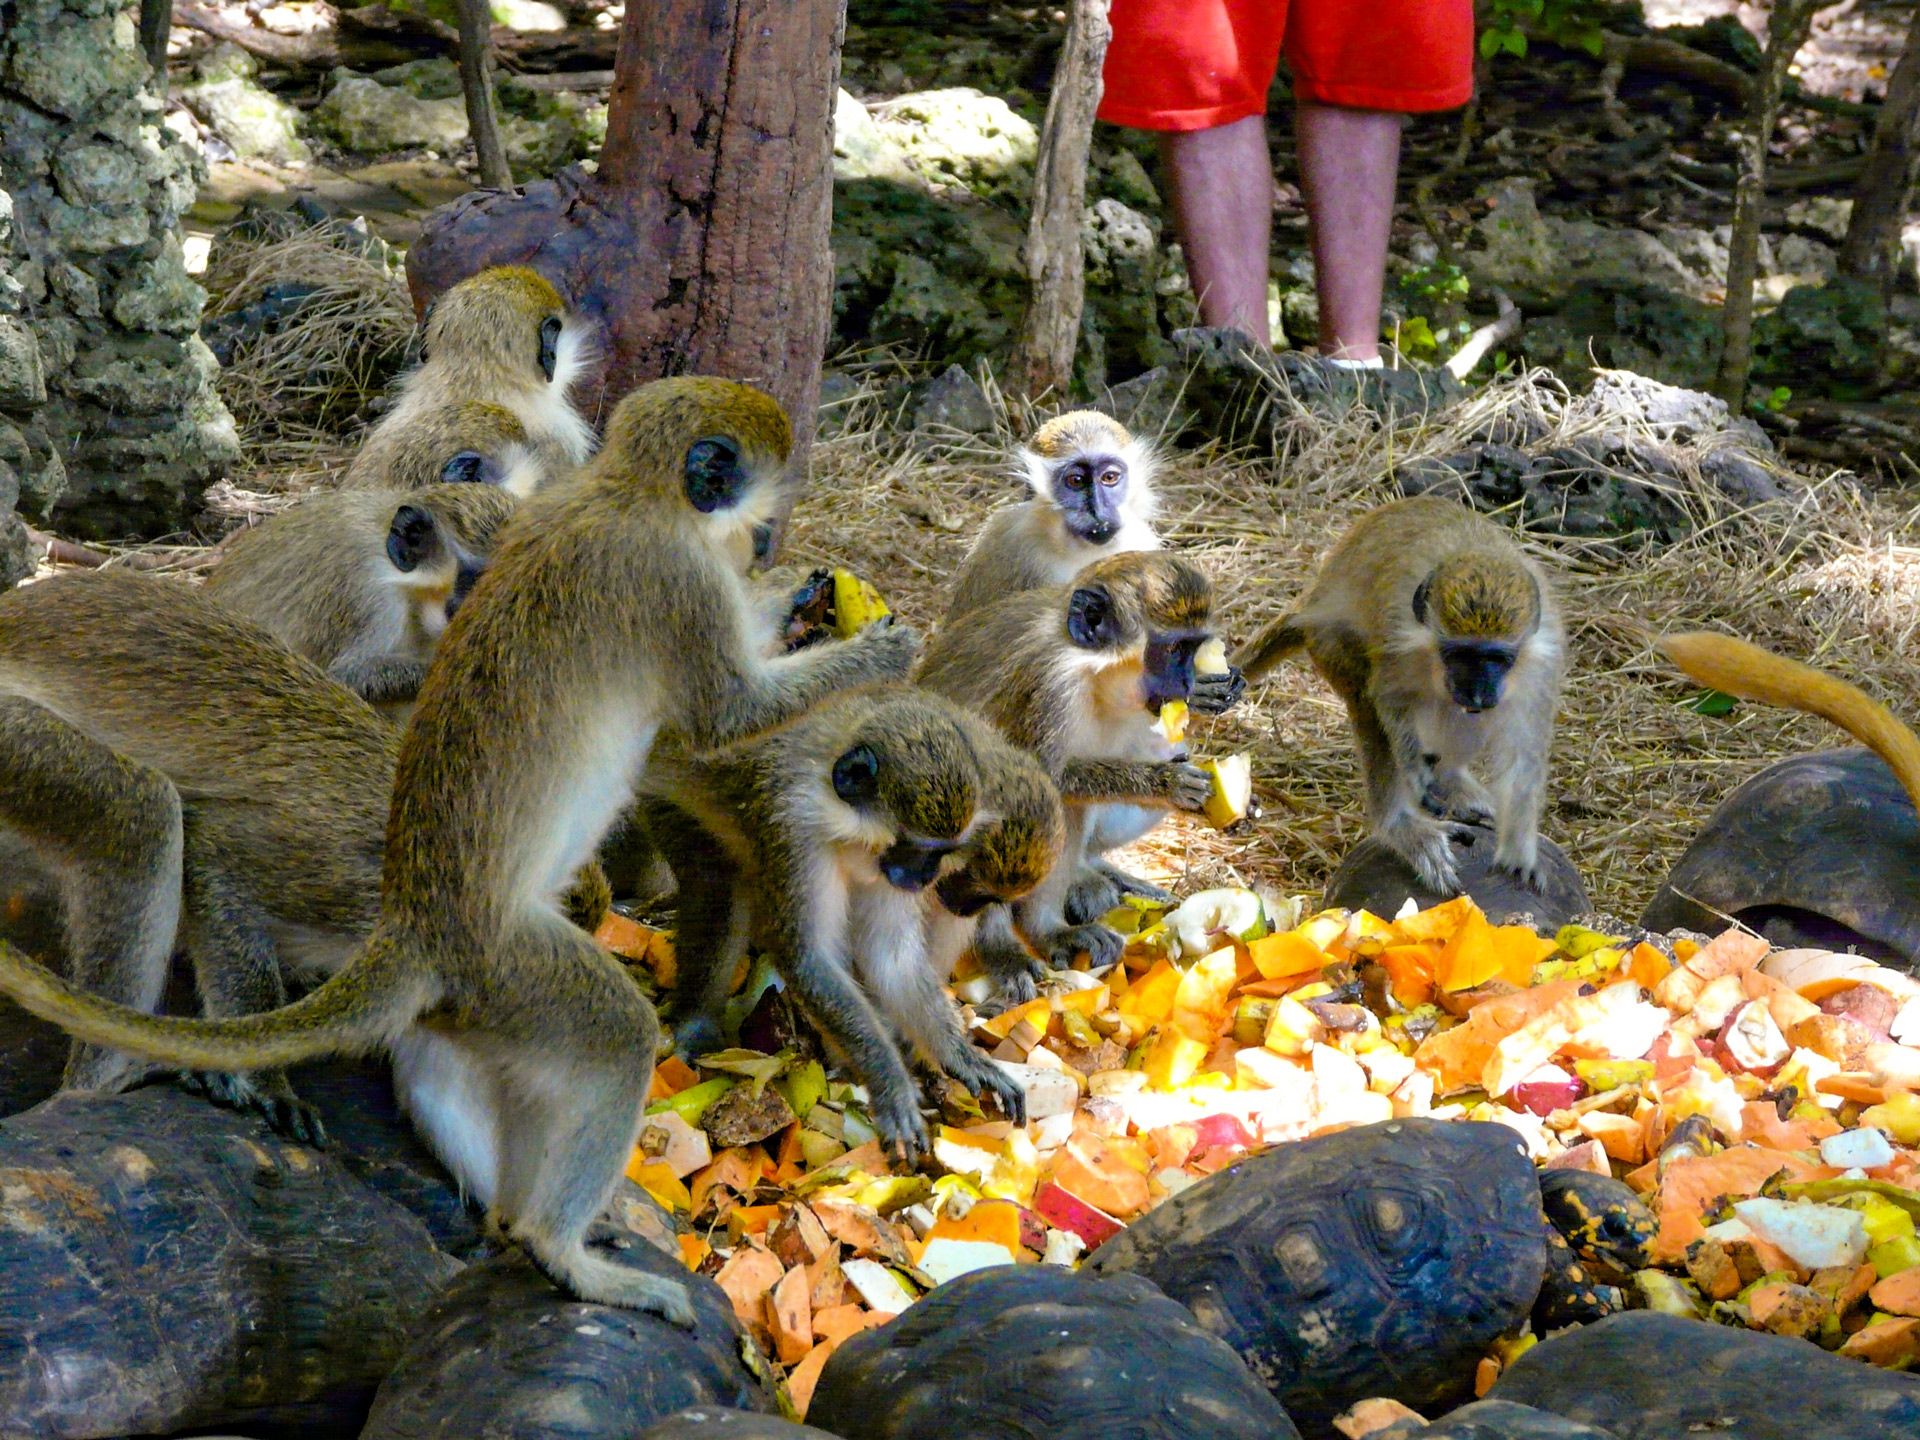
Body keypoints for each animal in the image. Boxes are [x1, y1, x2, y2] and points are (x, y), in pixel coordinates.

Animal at [0, 378, 921, 1328]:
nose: (769, 541)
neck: (627, 493)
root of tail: (413, 923)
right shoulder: (677, 582)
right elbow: (728, 714)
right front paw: (876, 648)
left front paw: (806, 597)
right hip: (508, 960)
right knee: (617, 1030)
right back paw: (561, 1245)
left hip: (476, 1000)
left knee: (453, 1071)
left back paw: (521, 1226)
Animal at [913, 545, 1213, 998]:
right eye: (1175, 649)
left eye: (1193, 650)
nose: (1188, 682)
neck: (1091, 671)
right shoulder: (1048, 687)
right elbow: (1035, 780)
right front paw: (1165, 783)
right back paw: (1001, 945)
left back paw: (1046, 930)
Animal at [1236, 503, 1566, 898]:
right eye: (1460, 655)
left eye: (1497, 659)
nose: (1477, 691)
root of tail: (1312, 600)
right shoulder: (1396, 637)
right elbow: (1387, 698)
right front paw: (1415, 773)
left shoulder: (1540, 664)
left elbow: (1522, 755)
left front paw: (1518, 851)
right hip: (1328, 642)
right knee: (1367, 703)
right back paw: (1401, 825)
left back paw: (1452, 780)